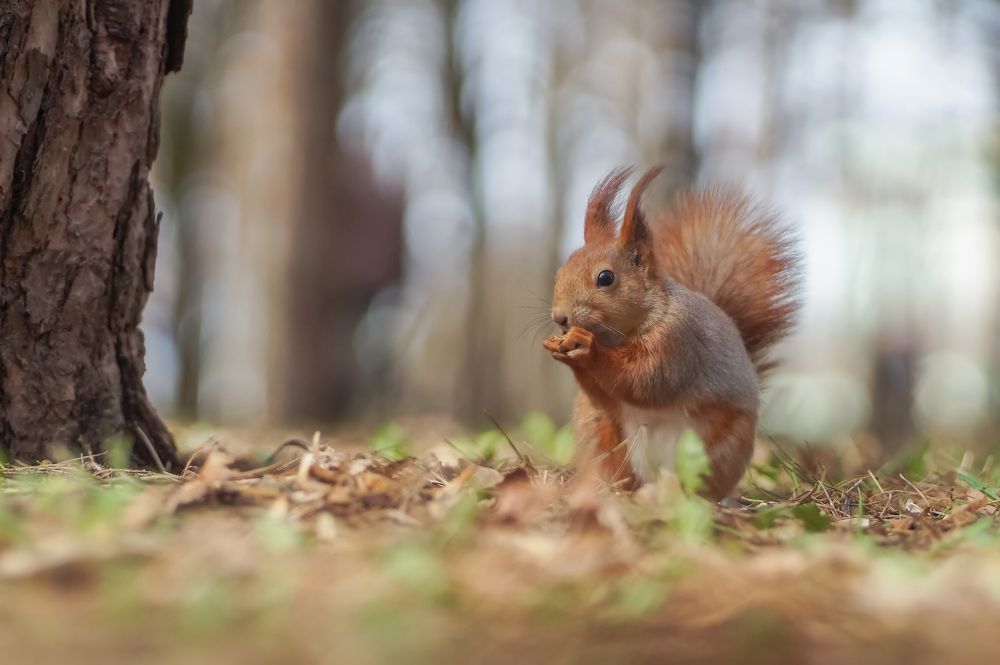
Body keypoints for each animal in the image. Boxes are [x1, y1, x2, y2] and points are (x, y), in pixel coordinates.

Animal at [543, 166, 801, 500]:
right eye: (561, 272)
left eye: (605, 277)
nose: (559, 317)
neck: (619, 335)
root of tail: (653, 474)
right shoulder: (602, 402)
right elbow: (603, 395)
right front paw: (559, 348)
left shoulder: (678, 341)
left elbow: (647, 379)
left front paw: (588, 349)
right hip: (599, 431)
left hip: (715, 447)